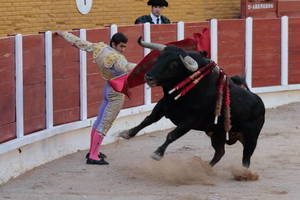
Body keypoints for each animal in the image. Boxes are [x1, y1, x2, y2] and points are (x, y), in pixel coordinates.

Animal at [119, 39, 264, 168]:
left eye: (173, 65)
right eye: (158, 59)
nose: (148, 77)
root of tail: (259, 102)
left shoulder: (189, 121)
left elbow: (171, 135)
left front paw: (157, 153)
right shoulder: (163, 105)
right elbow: (148, 119)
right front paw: (127, 133)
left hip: (251, 138)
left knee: (246, 159)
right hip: (217, 134)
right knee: (220, 152)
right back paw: (206, 169)